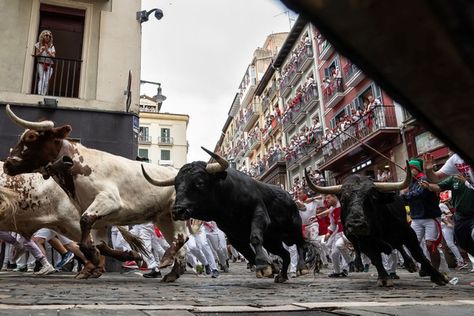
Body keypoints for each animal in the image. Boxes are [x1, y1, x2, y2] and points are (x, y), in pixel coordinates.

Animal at [4, 105, 189, 282]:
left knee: (182, 238)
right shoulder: (100, 220)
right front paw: (130, 255)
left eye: (31, 137)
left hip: (176, 213)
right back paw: (173, 272)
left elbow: (85, 223)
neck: (77, 167)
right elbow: (100, 244)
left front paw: (92, 257)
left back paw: (166, 259)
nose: (7, 164)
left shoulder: (108, 200)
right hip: (164, 218)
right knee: (179, 244)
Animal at [143, 148, 316, 284]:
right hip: (272, 240)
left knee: (301, 243)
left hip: (293, 227)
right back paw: (282, 276)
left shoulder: (259, 214)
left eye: (200, 183)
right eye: (176, 185)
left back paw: (301, 268)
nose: (178, 210)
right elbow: (247, 253)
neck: (228, 203)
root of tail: (289, 197)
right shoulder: (233, 235)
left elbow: (254, 237)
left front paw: (264, 264)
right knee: (285, 254)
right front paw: (269, 267)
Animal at [304, 167, 448, 288]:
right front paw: (383, 278)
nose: (356, 225)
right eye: (344, 199)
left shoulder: (408, 233)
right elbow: (375, 257)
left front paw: (438, 276)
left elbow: (418, 254)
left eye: (372, 197)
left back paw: (410, 264)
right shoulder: (364, 241)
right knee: (359, 249)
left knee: (399, 246)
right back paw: (358, 265)